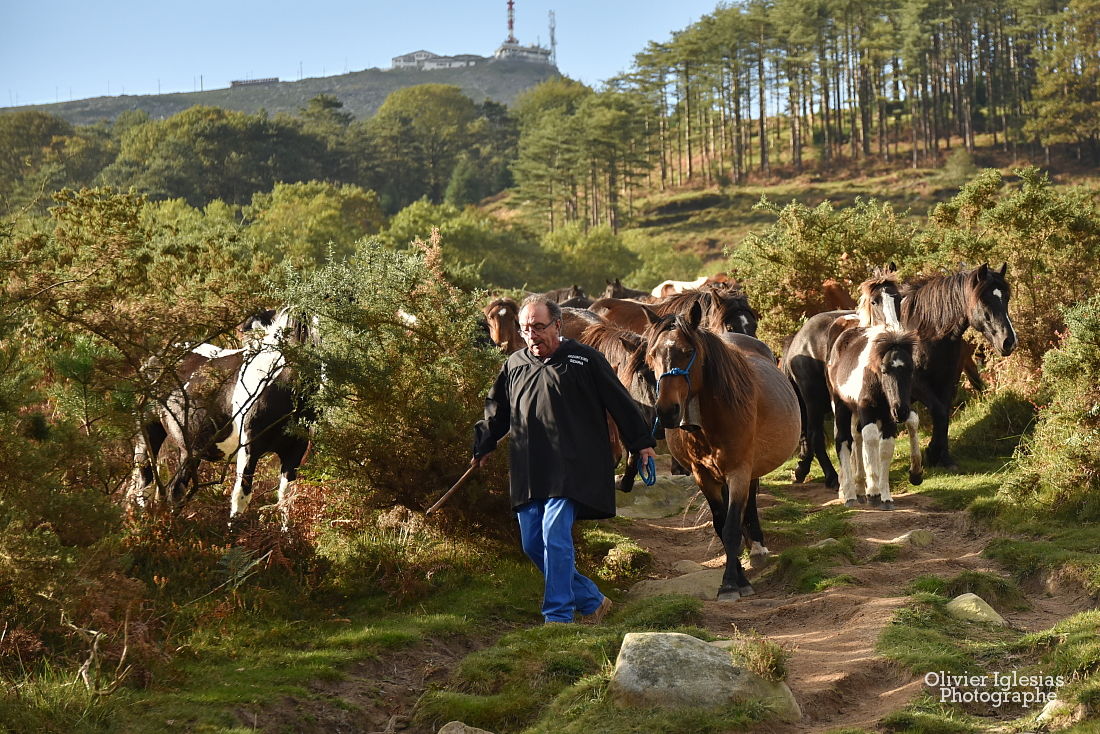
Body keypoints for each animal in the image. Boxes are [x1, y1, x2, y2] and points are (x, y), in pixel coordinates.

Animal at [129, 308, 321, 526]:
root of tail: (153, 360)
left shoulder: (295, 451)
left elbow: (286, 500)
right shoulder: (249, 448)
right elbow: (241, 495)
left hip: (190, 449)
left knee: (175, 490)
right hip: (147, 434)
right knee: (144, 485)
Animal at [638, 303, 800, 603]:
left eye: (687, 352)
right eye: (652, 355)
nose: (666, 411)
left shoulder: (738, 471)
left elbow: (731, 526)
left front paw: (731, 585)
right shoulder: (703, 476)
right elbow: (720, 525)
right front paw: (736, 576)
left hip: (749, 468)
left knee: (750, 501)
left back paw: (757, 547)